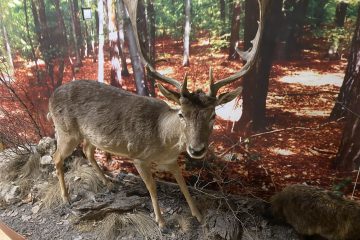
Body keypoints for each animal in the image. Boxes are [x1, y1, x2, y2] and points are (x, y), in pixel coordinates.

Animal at [48, 0, 264, 229]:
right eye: (182, 114)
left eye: (213, 115)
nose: (196, 149)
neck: (163, 141)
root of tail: (51, 98)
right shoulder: (138, 156)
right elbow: (152, 187)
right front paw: (161, 221)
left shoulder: (171, 160)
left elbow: (183, 184)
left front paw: (198, 214)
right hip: (66, 131)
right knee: (56, 157)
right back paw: (66, 197)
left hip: (88, 135)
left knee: (88, 151)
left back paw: (109, 183)